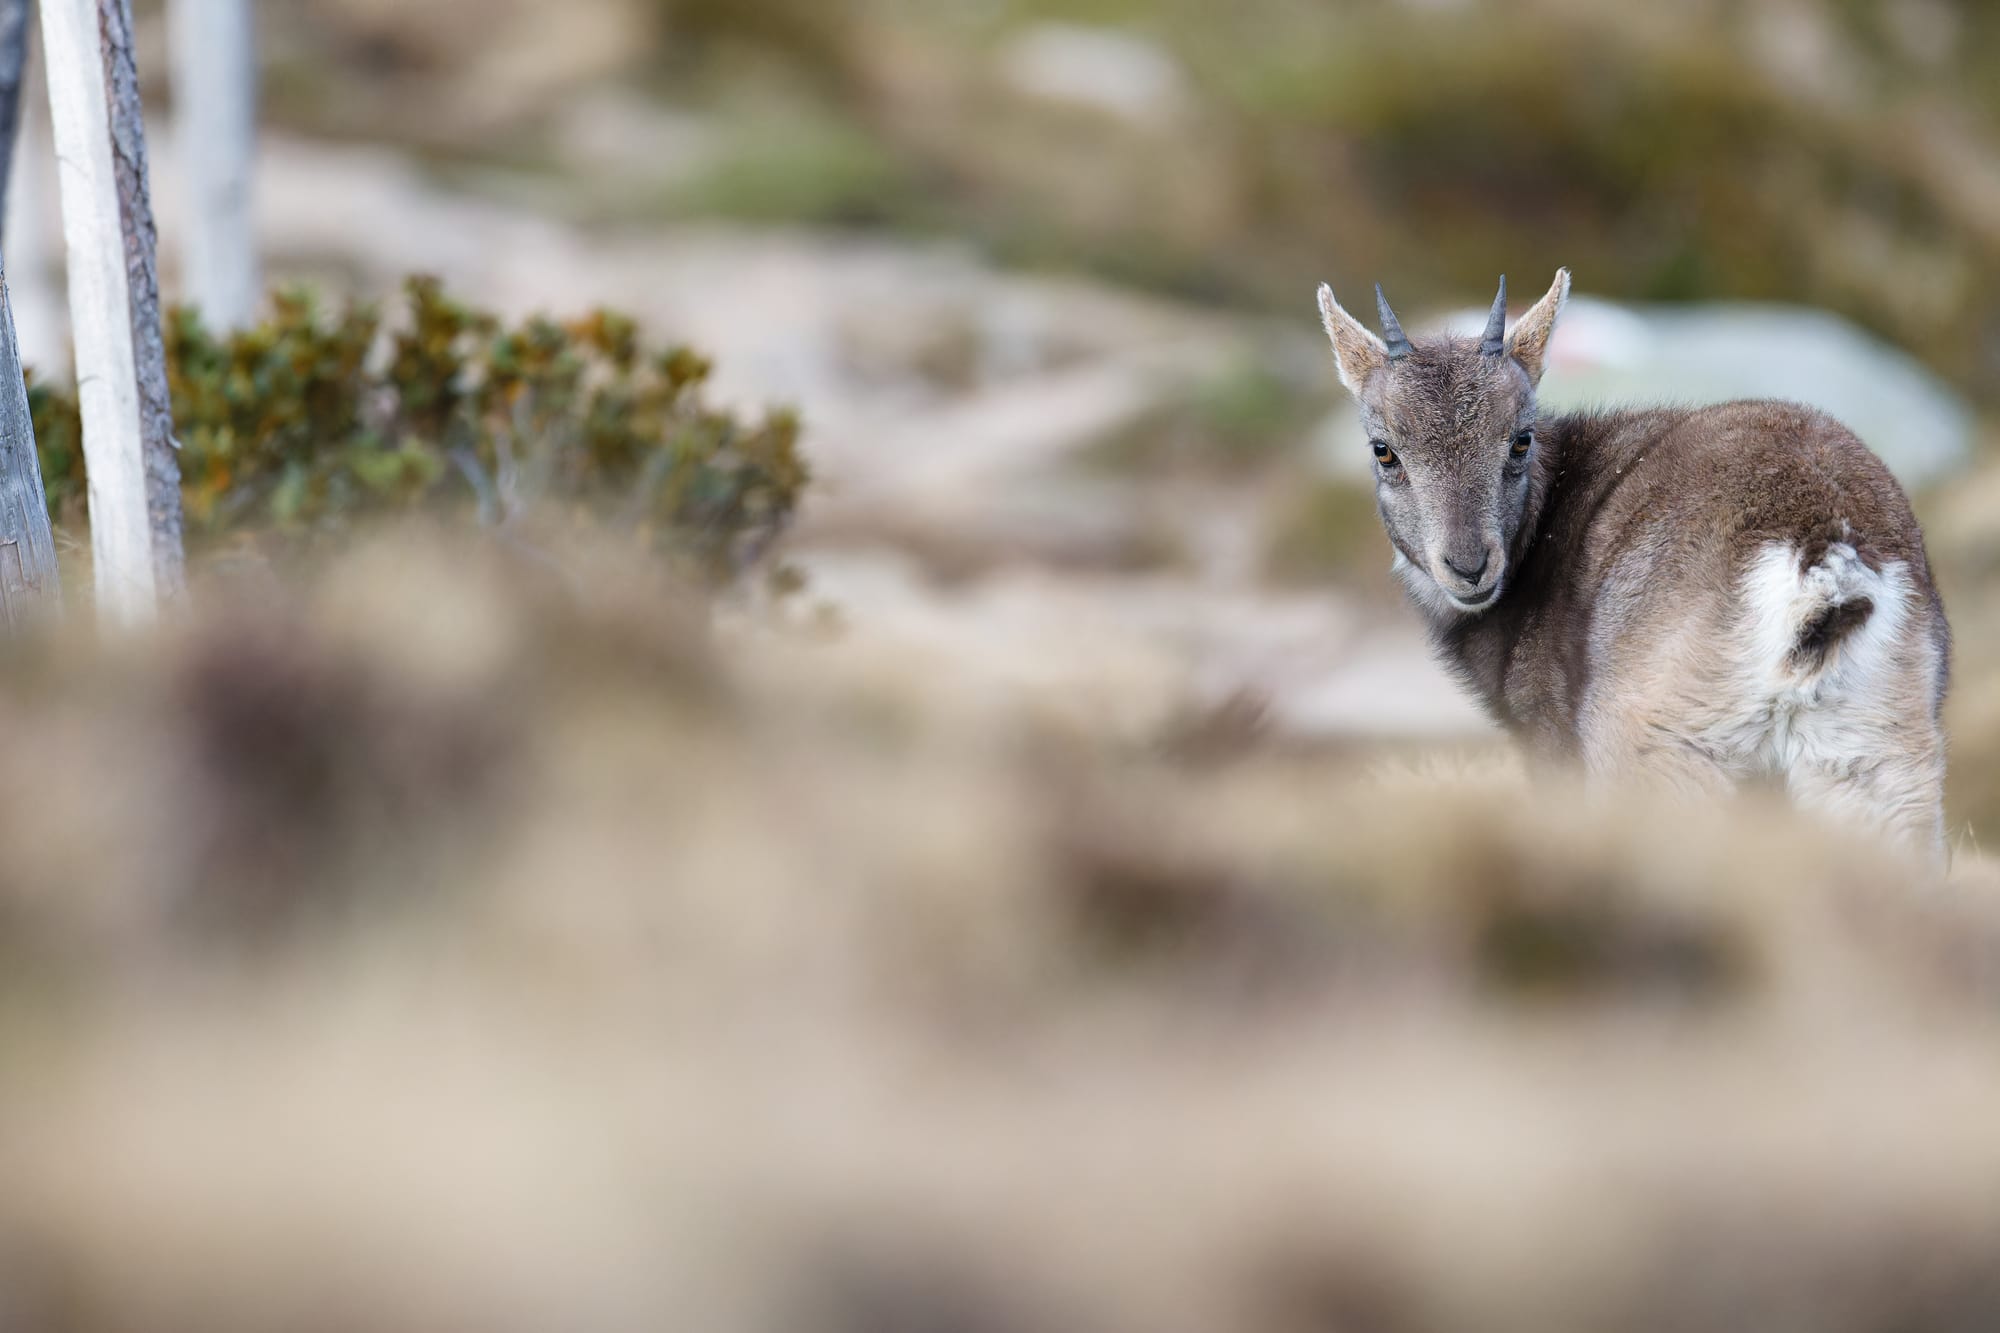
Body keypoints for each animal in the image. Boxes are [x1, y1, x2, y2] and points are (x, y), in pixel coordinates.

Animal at [1315, 270, 1951, 864]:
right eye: (1384, 450)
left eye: (1520, 440)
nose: (1469, 568)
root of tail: (1821, 559)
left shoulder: (1554, 745)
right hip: (1877, 763)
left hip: (1659, 750)